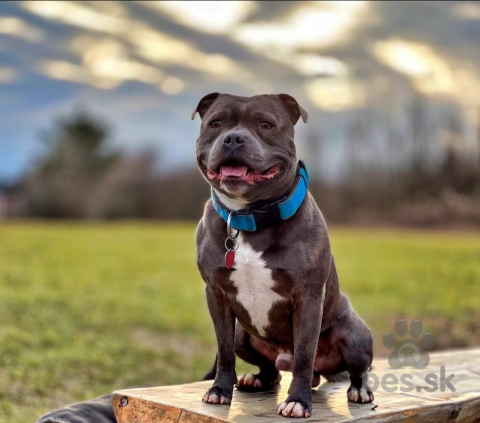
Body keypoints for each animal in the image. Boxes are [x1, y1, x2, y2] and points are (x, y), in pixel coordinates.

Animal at [193, 91, 374, 420]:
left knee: (355, 368)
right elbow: (223, 350)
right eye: (216, 123)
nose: (233, 138)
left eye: (265, 124)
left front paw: (299, 401)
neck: (249, 216)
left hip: (355, 337)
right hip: (243, 336)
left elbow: (303, 354)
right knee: (270, 369)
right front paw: (219, 390)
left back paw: (359, 389)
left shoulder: (308, 298)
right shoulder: (216, 294)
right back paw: (255, 379)